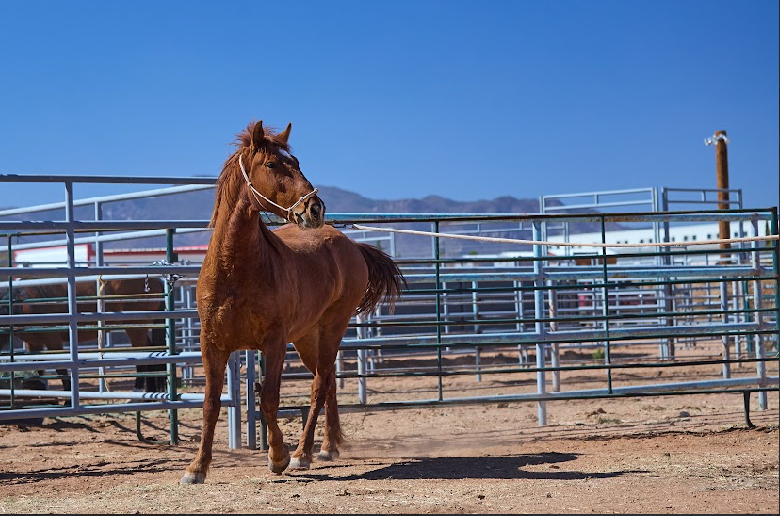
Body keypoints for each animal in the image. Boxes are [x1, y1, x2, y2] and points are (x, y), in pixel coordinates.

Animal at [0, 277, 168, 394]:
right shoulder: (34, 344)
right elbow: (37, 368)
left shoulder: (53, 341)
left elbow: (61, 369)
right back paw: (150, 392)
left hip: (135, 329)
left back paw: (137, 392)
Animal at [180, 120, 404, 484]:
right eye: (272, 164)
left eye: (297, 163)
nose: (315, 208)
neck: (235, 269)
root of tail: (350, 245)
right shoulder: (211, 343)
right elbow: (210, 404)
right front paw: (196, 468)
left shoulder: (273, 341)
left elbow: (270, 398)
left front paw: (278, 456)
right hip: (306, 338)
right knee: (328, 381)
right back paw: (327, 447)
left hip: (331, 328)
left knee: (320, 383)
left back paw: (303, 453)